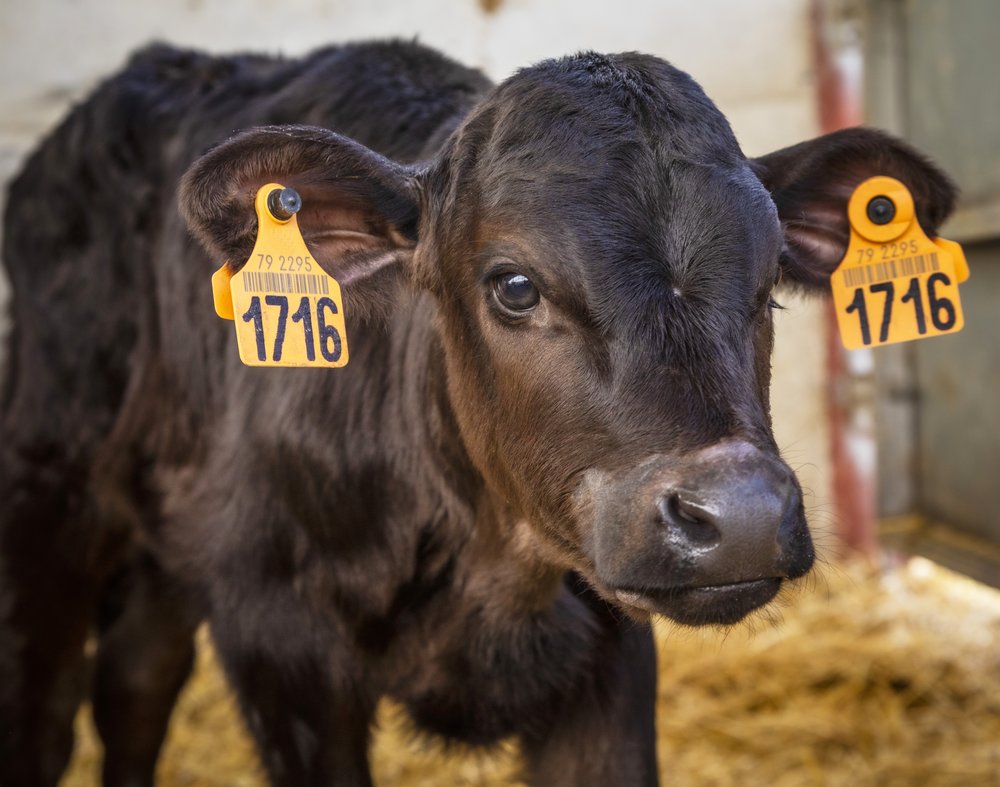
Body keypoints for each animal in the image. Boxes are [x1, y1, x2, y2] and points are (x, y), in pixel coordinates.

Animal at [0, 39, 955, 787]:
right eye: (515, 285)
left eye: (768, 288)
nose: (743, 515)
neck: (489, 573)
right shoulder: (282, 640)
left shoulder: (607, 666)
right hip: (49, 498)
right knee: (48, 703)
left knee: (136, 678)